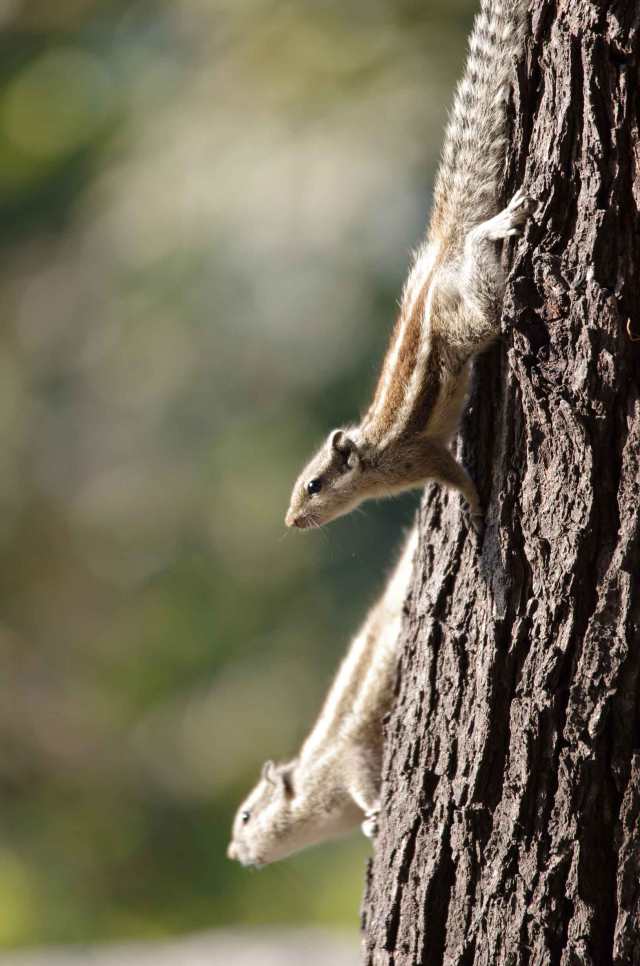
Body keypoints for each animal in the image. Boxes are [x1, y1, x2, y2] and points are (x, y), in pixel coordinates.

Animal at [227, 526, 417, 867]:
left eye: (246, 817)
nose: (232, 852)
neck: (305, 778)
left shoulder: (343, 762)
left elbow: (361, 777)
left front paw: (374, 812)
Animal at [285, 0, 532, 535]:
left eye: (314, 485)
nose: (291, 521)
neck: (375, 455)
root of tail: (439, 253)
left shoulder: (423, 456)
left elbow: (457, 476)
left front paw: (475, 508)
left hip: (466, 323)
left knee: (482, 289)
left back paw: (494, 226)